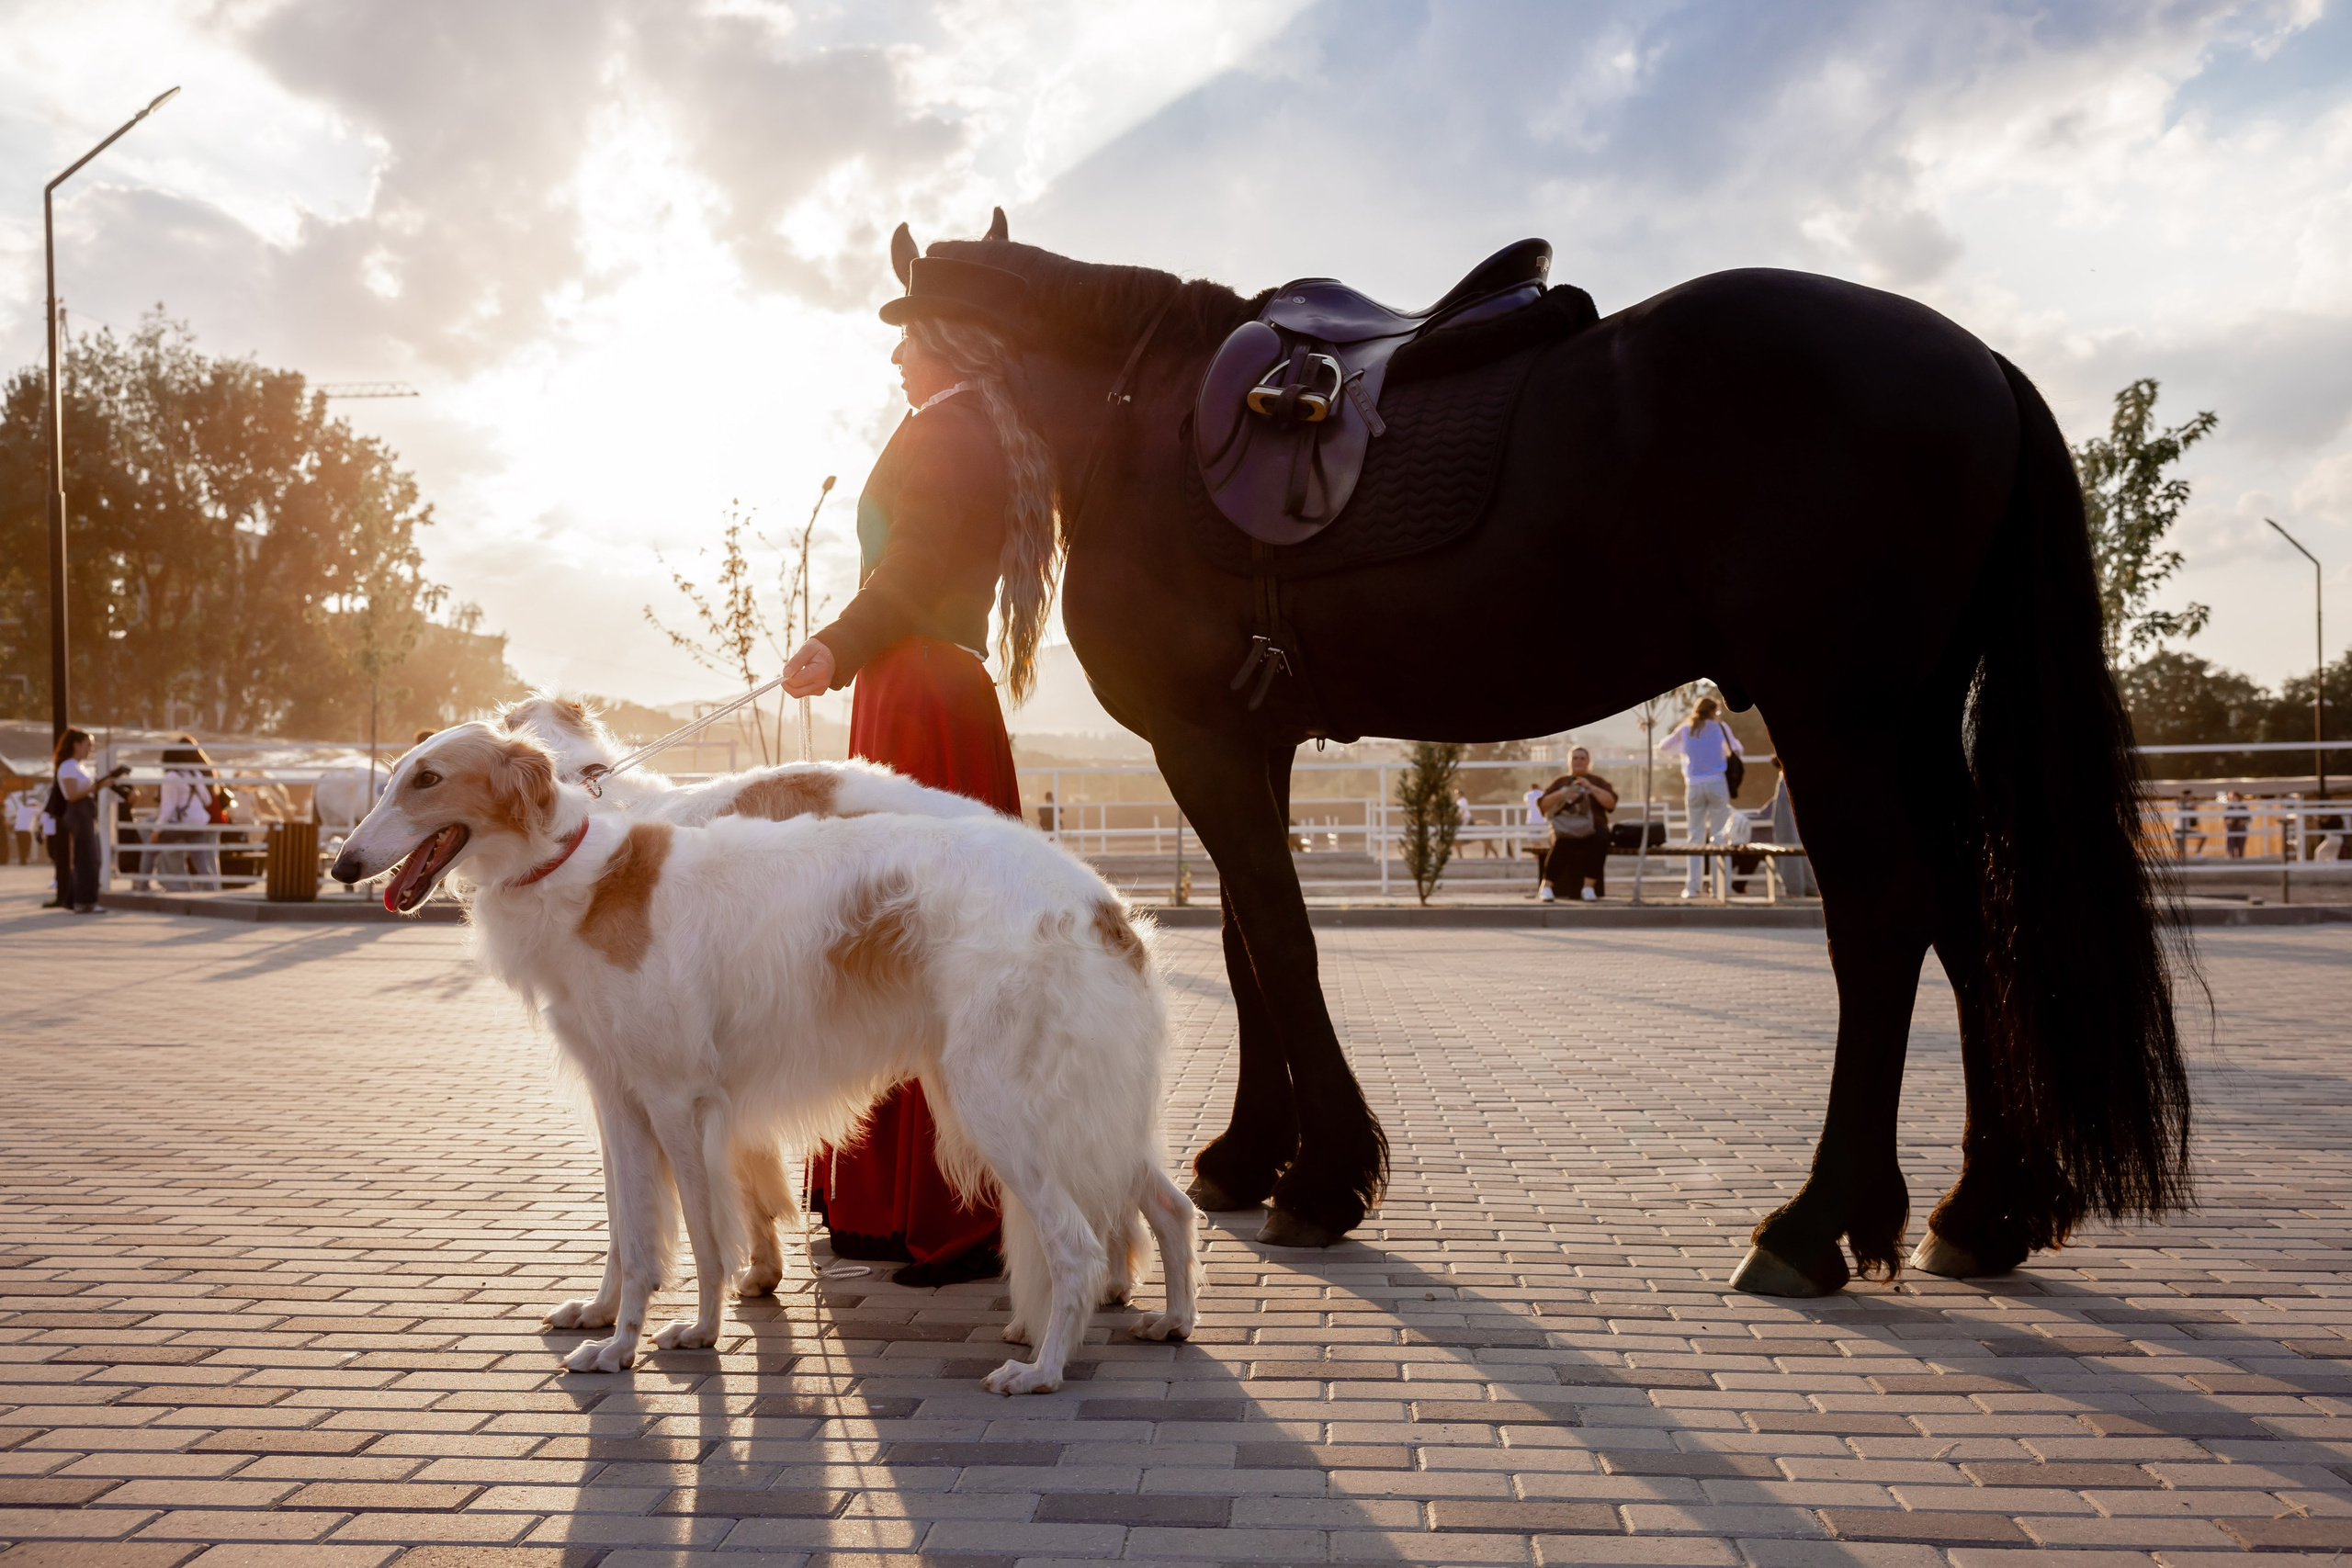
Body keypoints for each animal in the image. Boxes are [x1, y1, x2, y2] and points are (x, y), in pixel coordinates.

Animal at [901, 215, 2192, 1296]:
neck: (1143, 416)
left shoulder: (1203, 742)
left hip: (1839, 721)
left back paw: (1813, 1222)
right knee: (1974, 923)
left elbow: (1278, 938)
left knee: (1882, 921)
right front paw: (1248, 1155)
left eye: (909, 356)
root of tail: (1975, 360)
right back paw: (1983, 1210)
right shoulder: (1244, 738)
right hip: (1912, 723)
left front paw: (1321, 1176)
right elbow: (1244, 941)